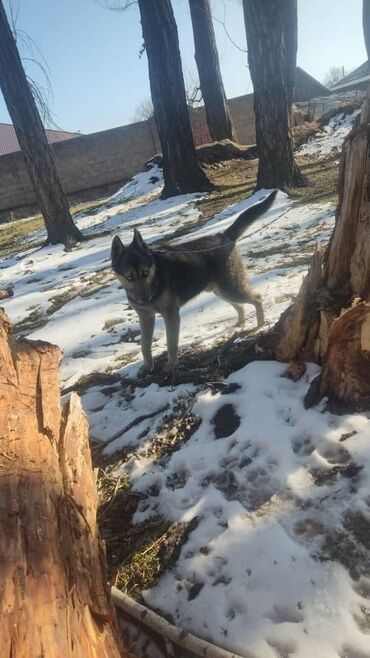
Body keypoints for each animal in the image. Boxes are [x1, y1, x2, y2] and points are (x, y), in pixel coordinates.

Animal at [111, 190, 276, 374]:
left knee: (257, 298)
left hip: (231, 289)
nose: (144, 299)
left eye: (145, 273)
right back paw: (240, 323)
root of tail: (223, 236)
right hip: (221, 291)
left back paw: (260, 323)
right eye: (129, 277)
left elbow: (171, 342)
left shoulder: (171, 315)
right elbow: (144, 346)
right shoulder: (146, 317)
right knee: (240, 307)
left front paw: (172, 365)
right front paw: (148, 366)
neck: (155, 279)